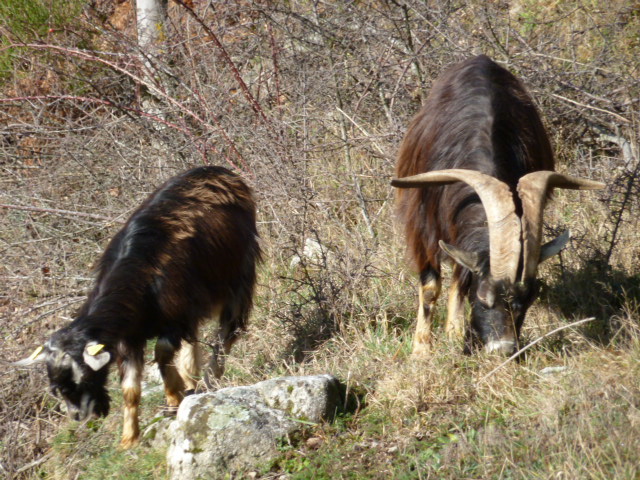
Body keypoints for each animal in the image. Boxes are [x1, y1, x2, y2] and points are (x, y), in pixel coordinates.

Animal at [15, 167, 260, 448]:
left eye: (84, 376)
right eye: (55, 388)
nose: (79, 415)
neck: (141, 279)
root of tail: (219, 171)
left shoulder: (175, 320)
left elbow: (162, 354)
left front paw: (174, 395)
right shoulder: (129, 340)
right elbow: (130, 390)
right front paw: (129, 439)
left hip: (239, 273)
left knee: (229, 330)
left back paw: (211, 376)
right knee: (195, 335)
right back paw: (191, 373)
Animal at [390, 56, 604, 356]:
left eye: (527, 300)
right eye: (484, 297)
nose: (504, 349)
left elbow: (462, 277)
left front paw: (456, 337)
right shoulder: (422, 221)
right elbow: (431, 286)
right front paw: (420, 353)